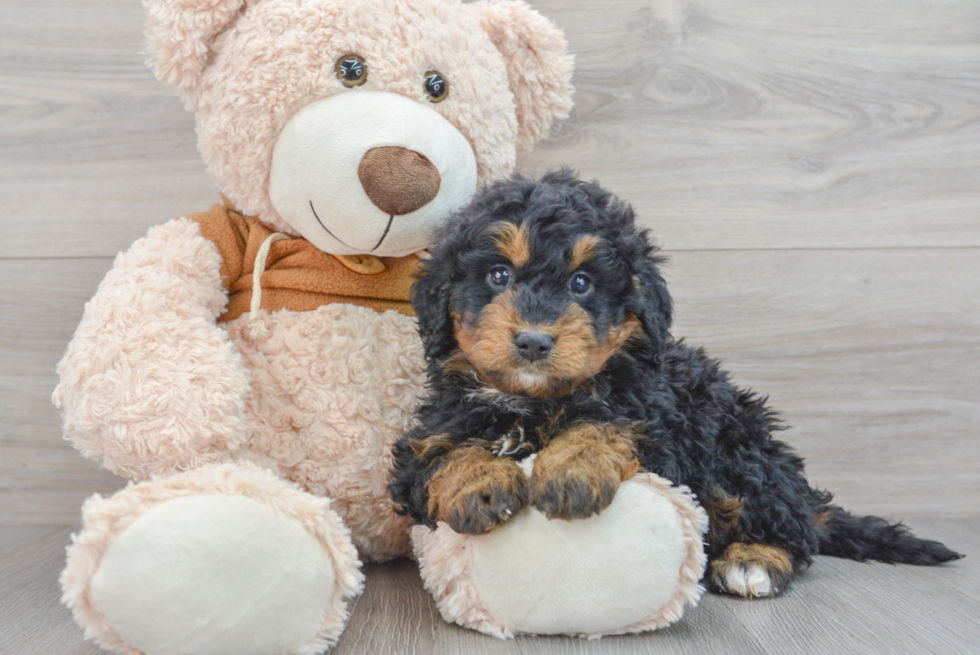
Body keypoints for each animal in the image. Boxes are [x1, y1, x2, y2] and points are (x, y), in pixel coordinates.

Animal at [388, 170, 956, 600]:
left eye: (581, 283)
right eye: (499, 276)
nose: (532, 341)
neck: (535, 401)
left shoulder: (663, 430)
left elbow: (608, 425)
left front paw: (571, 470)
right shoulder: (428, 435)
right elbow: (444, 455)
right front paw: (481, 485)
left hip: (739, 450)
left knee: (790, 531)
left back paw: (753, 561)